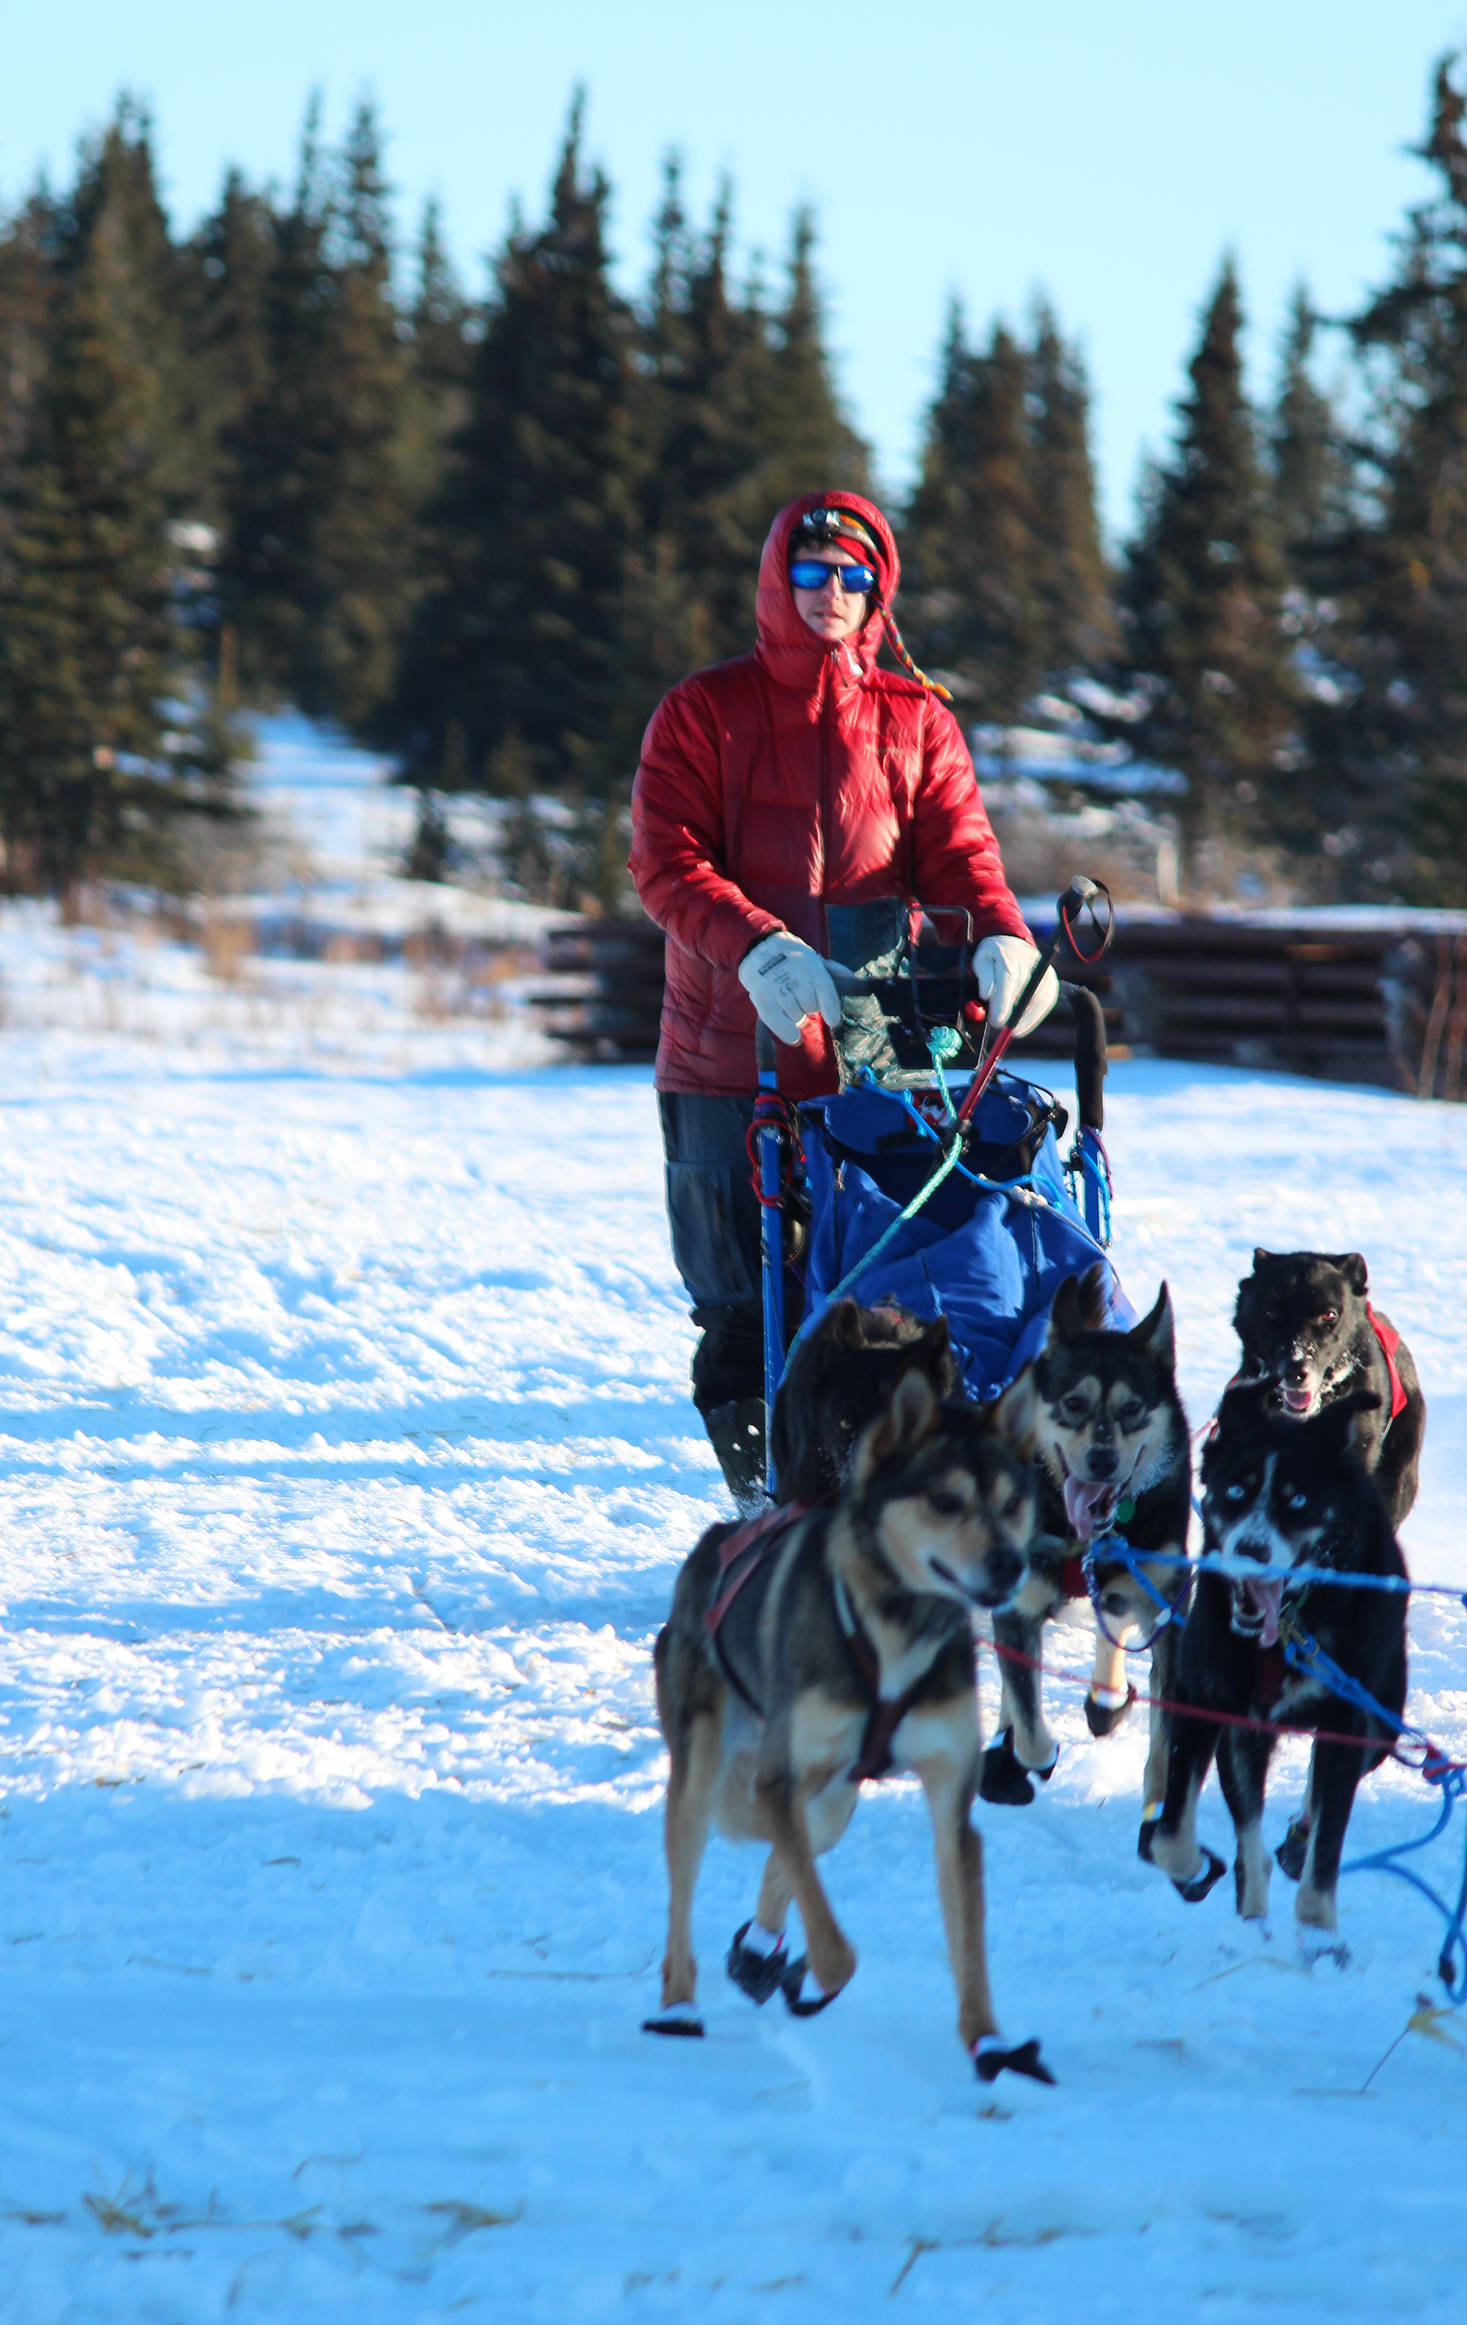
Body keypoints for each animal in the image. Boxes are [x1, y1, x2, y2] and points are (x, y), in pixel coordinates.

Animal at [1148, 1376, 1413, 1962]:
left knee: (1320, 1800)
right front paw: (1205, 1879)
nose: (1250, 1550)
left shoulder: (1346, 1722)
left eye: (1297, 1500)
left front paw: (1318, 1935)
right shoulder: (1210, 1705)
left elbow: (1328, 1844)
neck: (1289, 1628)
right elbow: (1173, 1836)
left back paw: (1297, 1840)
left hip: (1381, 1728)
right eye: (1235, 1492)